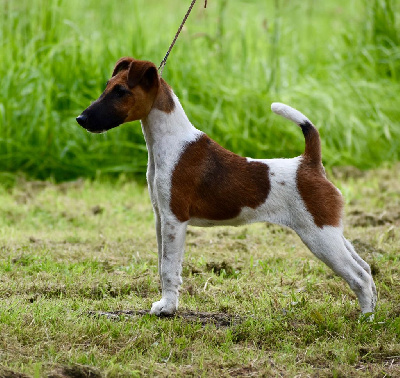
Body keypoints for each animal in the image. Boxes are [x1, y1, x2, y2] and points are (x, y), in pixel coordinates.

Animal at [76, 56, 376, 316]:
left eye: (121, 91)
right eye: (107, 87)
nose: (81, 119)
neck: (171, 142)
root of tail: (309, 162)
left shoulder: (174, 220)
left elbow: (169, 268)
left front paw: (168, 309)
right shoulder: (160, 218)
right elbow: (162, 264)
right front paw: (165, 303)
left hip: (320, 235)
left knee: (359, 276)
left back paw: (366, 319)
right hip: (331, 232)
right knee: (366, 268)